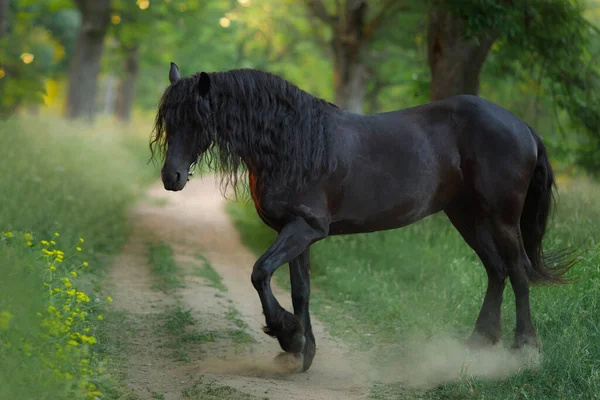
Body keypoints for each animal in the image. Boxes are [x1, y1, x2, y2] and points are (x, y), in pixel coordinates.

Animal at [150, 61, 572, 372]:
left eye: (197, 120)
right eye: (168, 120)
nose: (171, 177)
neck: (294, 142)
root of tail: (521, 126)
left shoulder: (304, 229)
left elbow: (260, 273)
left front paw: (289, 335)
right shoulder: (297, 232)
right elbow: (300, 289)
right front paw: (302, 348)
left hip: (501, 218)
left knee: (517, 270)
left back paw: (523, 347)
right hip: (468, 216)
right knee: (496, 270)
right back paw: (479, 343)